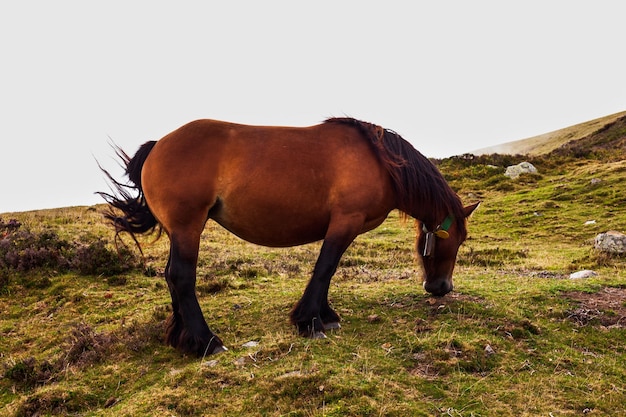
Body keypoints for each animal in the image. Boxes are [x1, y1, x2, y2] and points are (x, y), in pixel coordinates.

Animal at [100, 117, 476, 354]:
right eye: (454, 240)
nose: (442, 288)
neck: (382, 162)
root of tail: (158, 145)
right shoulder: (345, 222)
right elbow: (325, 269)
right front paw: (310, 321)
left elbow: (327, 272)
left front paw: (324, 316)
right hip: (188, 226)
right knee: (181, 277)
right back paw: (206, 342)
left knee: (171, 277)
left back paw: (184, 339)